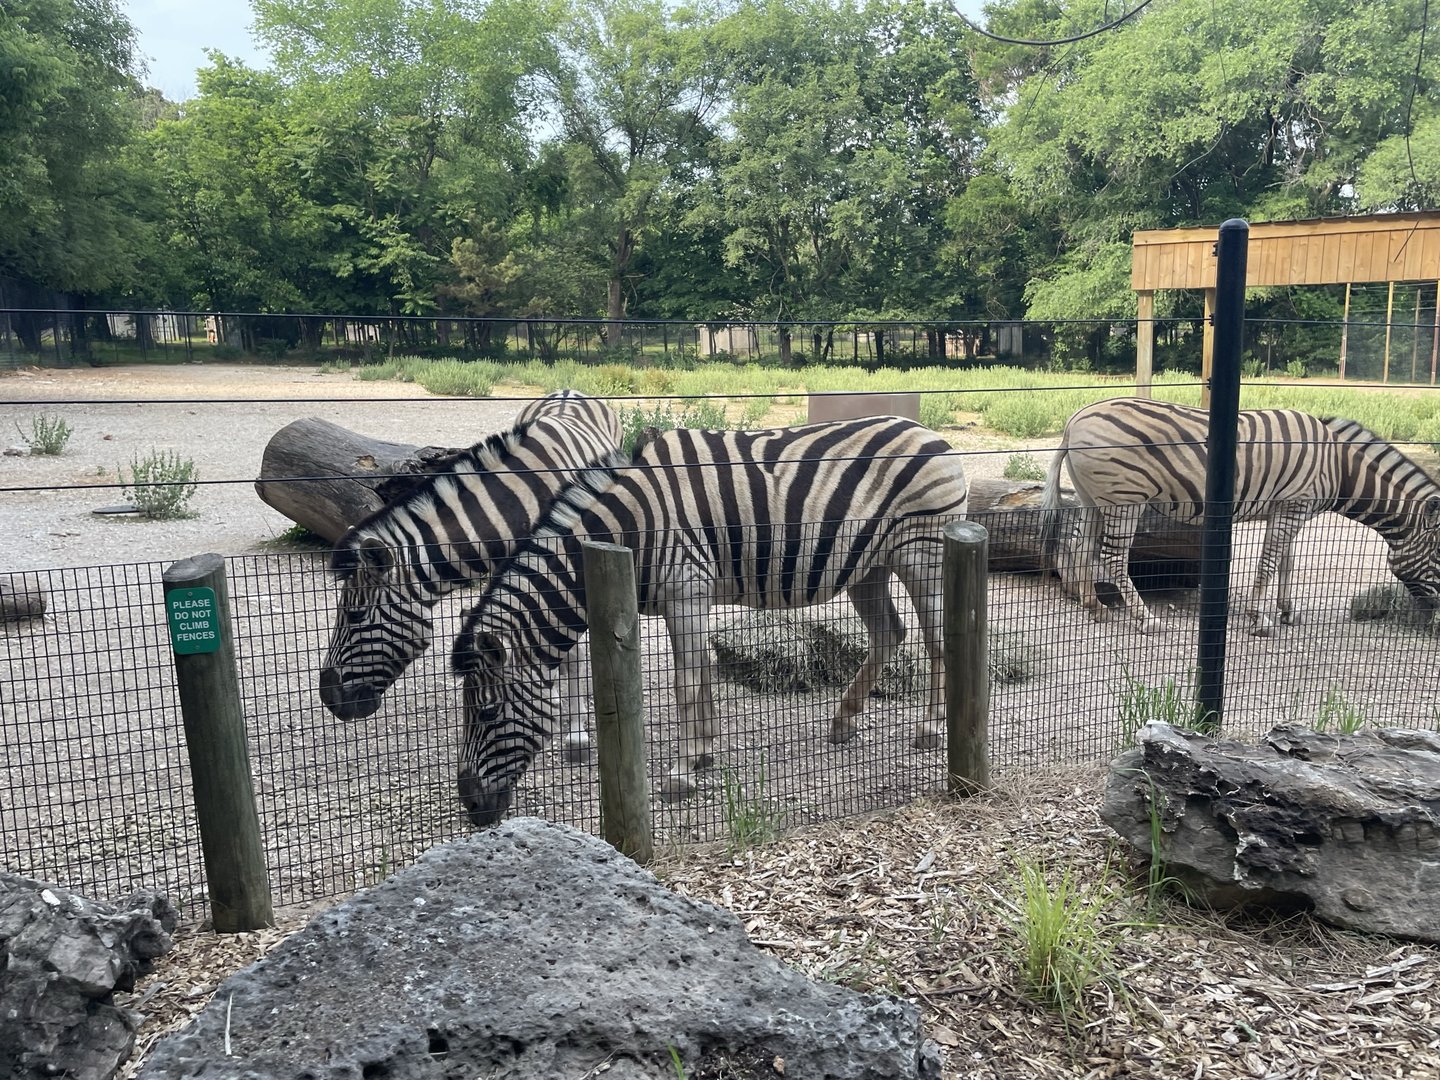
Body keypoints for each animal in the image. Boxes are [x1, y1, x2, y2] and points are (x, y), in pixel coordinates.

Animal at [318, 390, 622, 761]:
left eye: (355, 615)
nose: (329, 698)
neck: (511, 506)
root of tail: (567, 392)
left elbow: (571, 653)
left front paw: (576, 735)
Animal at [447, 416, 971, 828]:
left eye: (488, 712)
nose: (471, 806)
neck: (633, 528)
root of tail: (932, 433)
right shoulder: (688, 598)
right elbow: (698, 675)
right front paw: (702, 753)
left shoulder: (686, 590)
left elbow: (686, 682)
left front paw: (680, 775)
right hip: (867, 566)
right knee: (889, 633)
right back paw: (843, 721)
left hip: (921, 553)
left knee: (938, 640)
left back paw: (929, 730)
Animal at [1041, 397, 1440, 635]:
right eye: (1439, 556)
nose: (1434, 623)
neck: (1339, 467)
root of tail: (1074, 420)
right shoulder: (1293, 506)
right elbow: (1269, 561)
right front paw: (1259, 618)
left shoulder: (1288, 509)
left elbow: (1286, 562)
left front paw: (1286, 611)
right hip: (1125, 499)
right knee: (1112, 556)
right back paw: (1147, 620)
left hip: (1093, 497)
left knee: (1081, 546)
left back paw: (1094, 606)